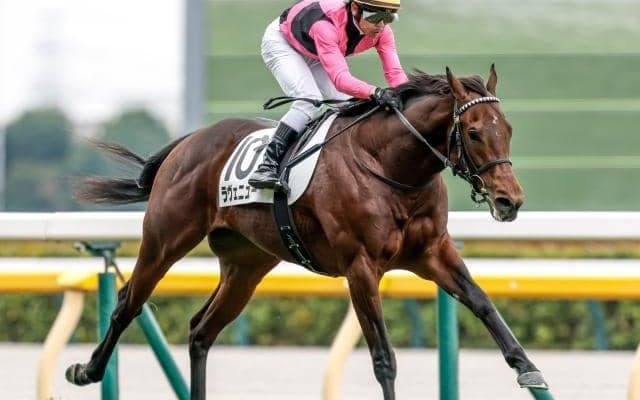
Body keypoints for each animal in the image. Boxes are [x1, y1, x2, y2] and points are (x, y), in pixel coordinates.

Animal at [66, 65, 548, 399]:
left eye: (507, 129)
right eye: (473, 132)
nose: (510, 200)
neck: (391, 167)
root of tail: (186, 143)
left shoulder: (433, 253)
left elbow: (482, 302)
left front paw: (527, 367)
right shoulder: (361, 267)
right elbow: (383, 357)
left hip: (247, 264)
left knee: (201, 330)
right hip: (165, 239)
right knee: (128, 302)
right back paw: (86, 370)